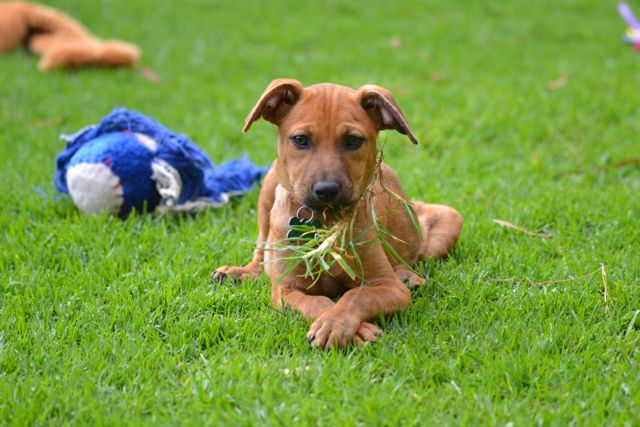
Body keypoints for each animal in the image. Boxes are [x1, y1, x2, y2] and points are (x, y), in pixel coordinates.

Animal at [213, 79, 463, 350]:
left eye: (353, 140)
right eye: (300, 139)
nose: (327, 190)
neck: (325, 222)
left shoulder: (389, 287)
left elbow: (355, 296)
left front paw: (336, 324)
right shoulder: (286, 290)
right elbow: (317, 302)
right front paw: (351, 328)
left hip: (448, 224)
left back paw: (407, 275)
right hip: (268, 188)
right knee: (261, 254)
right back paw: (239, 272)